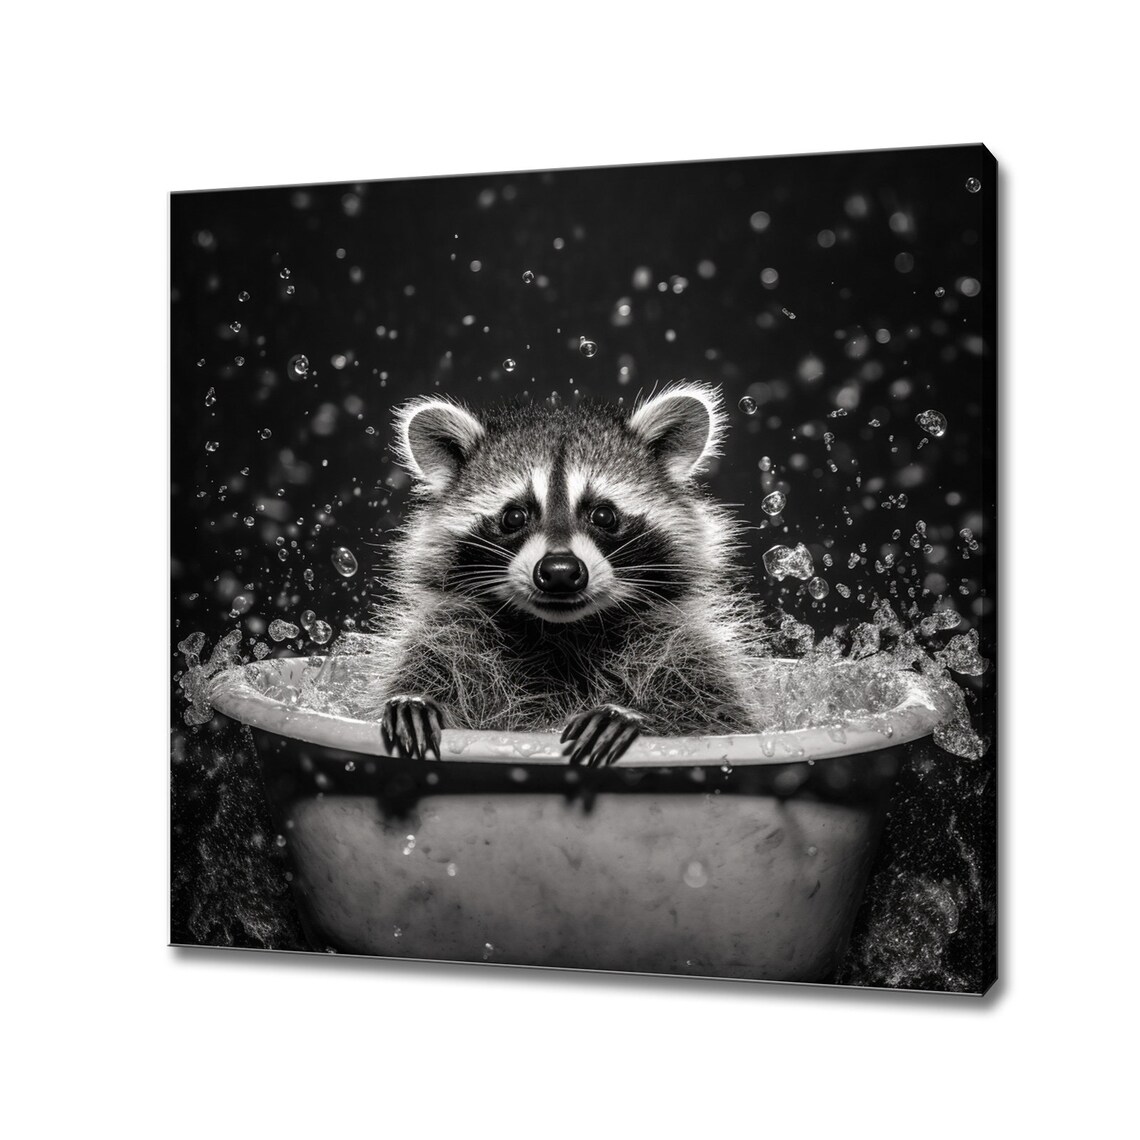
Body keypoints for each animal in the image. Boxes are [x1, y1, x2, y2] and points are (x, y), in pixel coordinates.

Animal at [351, 382, 769, 766]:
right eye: (514, 516)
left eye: (603, 515)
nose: (560, 572)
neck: (561, 632)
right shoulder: (439, 639)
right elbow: (422, 674)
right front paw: (419, 702)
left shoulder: (690, 651)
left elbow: (721, 719)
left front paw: (632, 716)